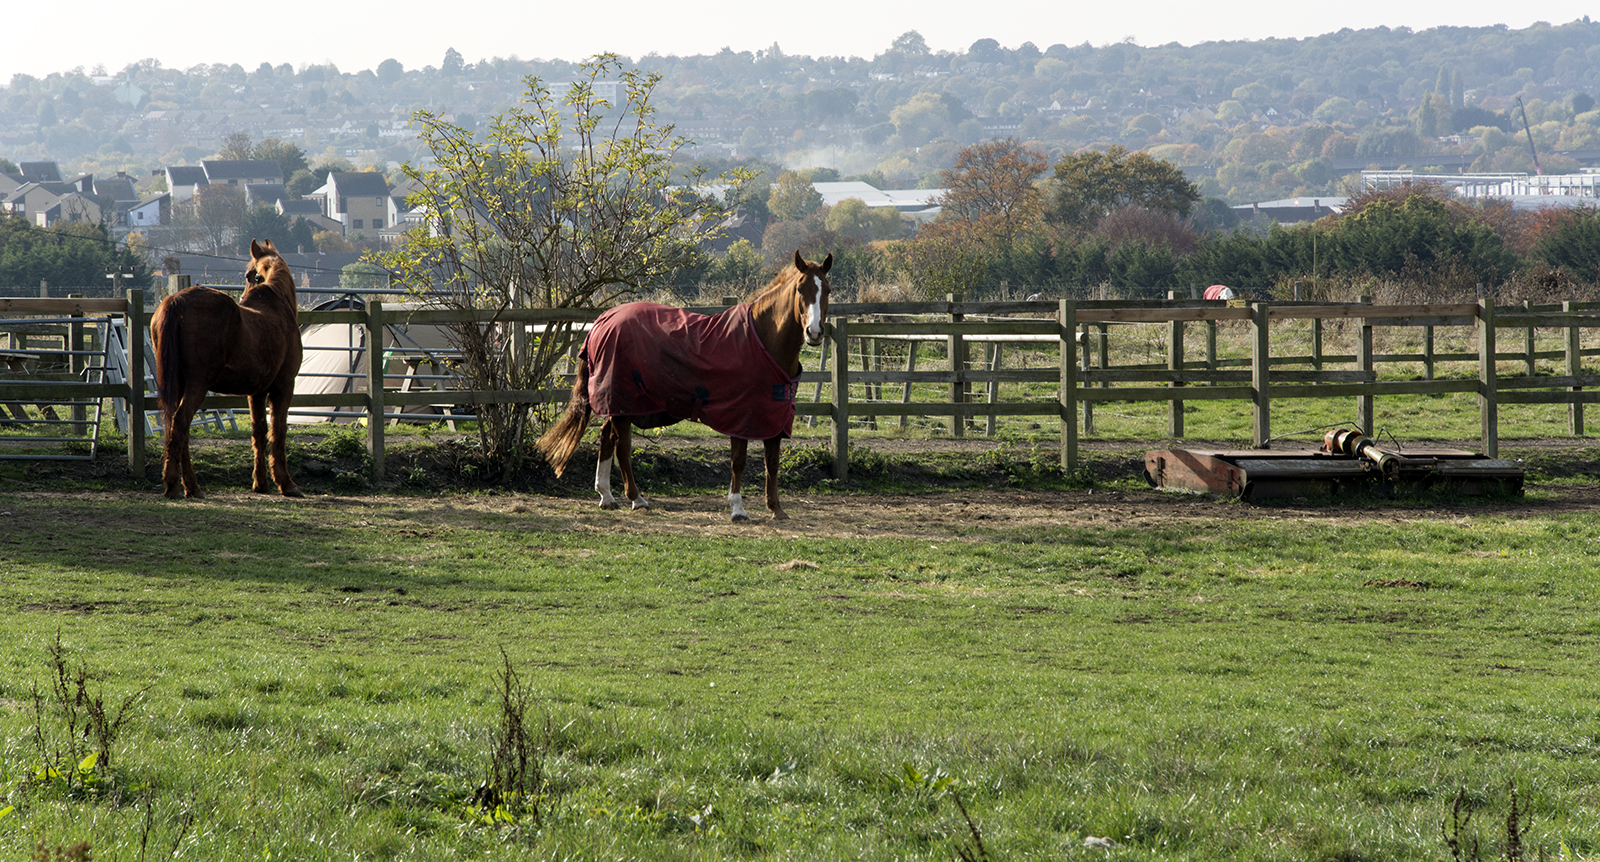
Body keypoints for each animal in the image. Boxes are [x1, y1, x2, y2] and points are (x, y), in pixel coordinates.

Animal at [151, 241, 304, 498]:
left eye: (249, 275)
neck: (278, 305)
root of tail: (177, 300)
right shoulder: (284, 387)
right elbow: (278, 432)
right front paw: (286, 483)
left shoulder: (256, 393)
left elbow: (259, 432)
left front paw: (260, 483)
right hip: (197, 385)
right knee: (181, 422)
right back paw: (174, 485)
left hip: (179, 384)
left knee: (176, 427)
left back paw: (191, 486)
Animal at [540, 247, 838, 518]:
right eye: (800, 289)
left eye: (828, 290)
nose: (814, 332)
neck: (763, 340)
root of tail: (603, 320)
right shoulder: (741, 416)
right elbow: (738, 461)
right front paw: (738, 508)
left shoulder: (774, 416)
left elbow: (772, 462)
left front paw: (776, 508)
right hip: (623, 401)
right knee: (621, 445)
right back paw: (636, 499)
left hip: (623, 405)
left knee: (606, 438)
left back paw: (606, 496)